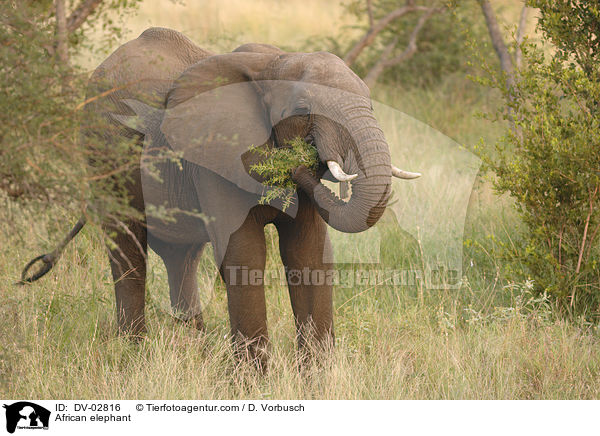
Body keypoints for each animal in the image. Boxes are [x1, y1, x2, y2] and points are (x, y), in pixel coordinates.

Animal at [22, 26, 418, 368]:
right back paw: (133, 355)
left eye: (370, 102)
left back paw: (194, 353)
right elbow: (244, 256)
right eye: (303, 108)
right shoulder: (215, 153)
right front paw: (254, 385)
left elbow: (309, 256)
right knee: (129, 246)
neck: (274, 61)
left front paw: (316, 382)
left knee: (181, 256)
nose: (300, 159)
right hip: (102, 152)